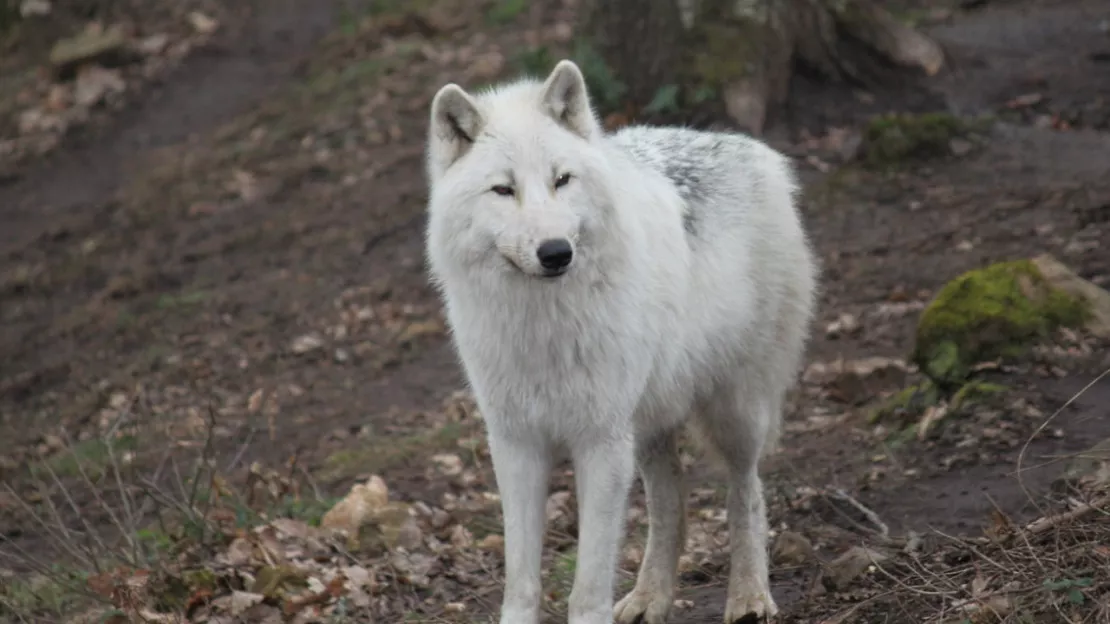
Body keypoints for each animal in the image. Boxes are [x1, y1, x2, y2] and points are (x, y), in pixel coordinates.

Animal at [421, 59, 816, 621]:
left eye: (562, 180)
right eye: (503, 190)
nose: (556, 252)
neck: (543, 325)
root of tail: (752, 150)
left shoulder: (600, 441)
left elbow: (588, 583)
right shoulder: (516, 442)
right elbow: (521, 578)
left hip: (733, 412)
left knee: (747, 492)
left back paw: (749, 595)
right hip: (647, 425)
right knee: (671, 501)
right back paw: (652, 598)